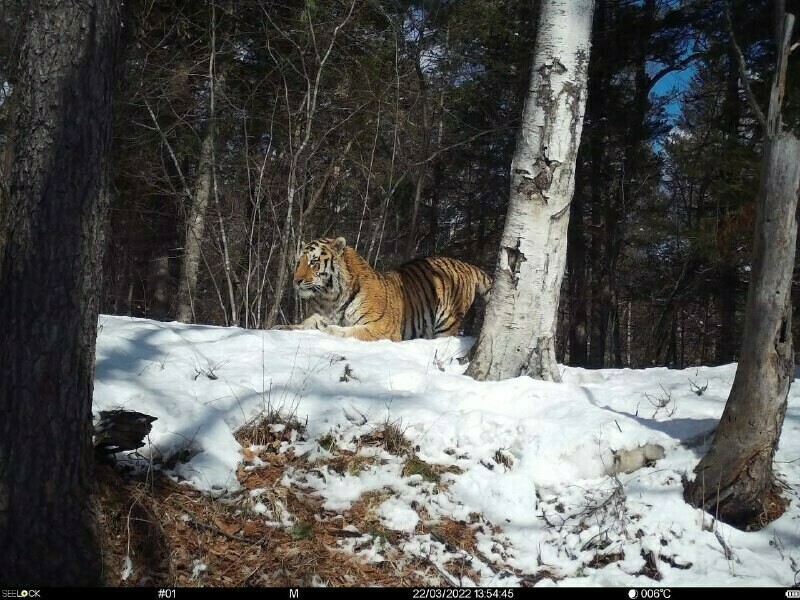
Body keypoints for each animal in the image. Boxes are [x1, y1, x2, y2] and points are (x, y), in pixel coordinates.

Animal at [272, 238, 490, 342]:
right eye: (298, 262)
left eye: (314, 262)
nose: (296, 281)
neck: (331, 296)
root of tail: (464, 264)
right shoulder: (320, 315)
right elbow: (303, 325)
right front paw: (280, 328)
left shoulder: (382, 328)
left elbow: (350, 332)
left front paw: (331, 330)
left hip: (446, 322)